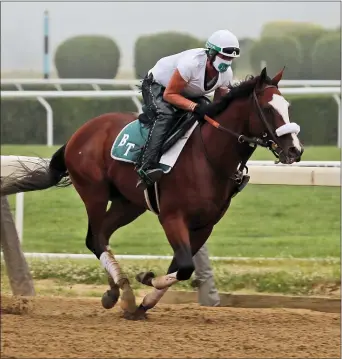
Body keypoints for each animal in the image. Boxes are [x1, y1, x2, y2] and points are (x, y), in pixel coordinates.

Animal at [1, 67, 304, 320]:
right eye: (268, 107)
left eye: (288, 106)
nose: (295, 150)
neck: (208, 157)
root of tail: (80, 133)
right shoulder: (172, 217)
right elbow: (184, 267)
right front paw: (146, 278)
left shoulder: (205, 225)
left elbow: (179, 266)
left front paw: (144, 304)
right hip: (94, 192)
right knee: (95, 239)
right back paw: (123, 291)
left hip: (128, 204)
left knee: (102, 236)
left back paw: (117, 292)